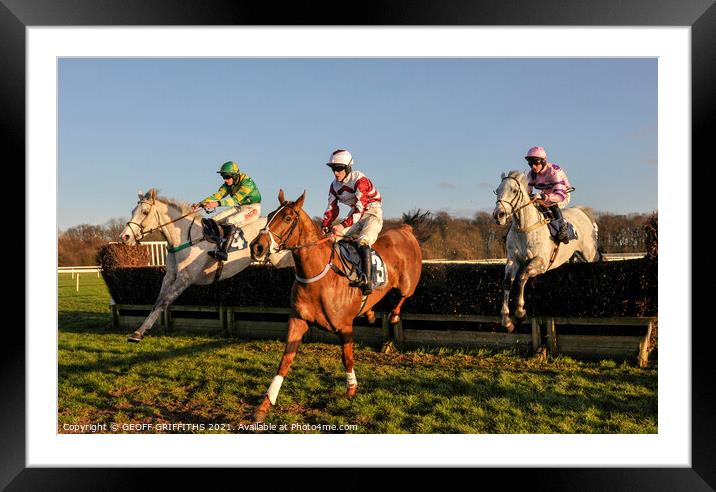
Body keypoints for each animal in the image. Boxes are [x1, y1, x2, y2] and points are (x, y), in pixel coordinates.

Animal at [120, 188, 294, 342]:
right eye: (132, 211)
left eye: (144, 212)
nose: (124, 237)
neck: (185, 237)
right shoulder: (169, 276)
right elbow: (157, 302)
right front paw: (139, 330)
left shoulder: (184, 279)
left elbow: (164, 302)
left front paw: (138, 333)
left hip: (284, 260)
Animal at [249, 190, 422, 420]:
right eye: (269, 216)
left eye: (287, 218)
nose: (257, 247)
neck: (318, 275)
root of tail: (405, 230)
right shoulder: (298, 319)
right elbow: (285, 362)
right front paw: (265, 404)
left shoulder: (344, 327)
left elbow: (347, 358)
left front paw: (351, 389)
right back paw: (369, 313)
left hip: (407, 284)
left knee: (402, 297)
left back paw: (391, 315)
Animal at [490, 171, 600, 332]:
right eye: (497, 190)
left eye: (514, 191)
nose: (499, 215)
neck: (525, 227)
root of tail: (580, 211)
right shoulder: (512, 261)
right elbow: (506, 283)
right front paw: (506, 320)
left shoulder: (541, 262)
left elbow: (522, 277)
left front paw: (520, 313)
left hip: (589, 253)